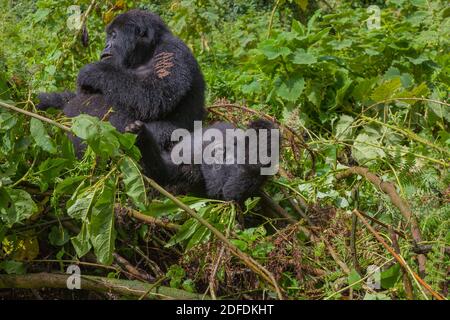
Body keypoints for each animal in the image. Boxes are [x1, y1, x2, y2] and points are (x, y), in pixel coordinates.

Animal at [37, 9, 207, 165]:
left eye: (114, 35)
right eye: (109, 36)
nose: (106, 45)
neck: (147, 52)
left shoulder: (172, 50)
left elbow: (154, 96)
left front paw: (93, 71)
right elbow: (75, 97)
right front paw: (44, 100)